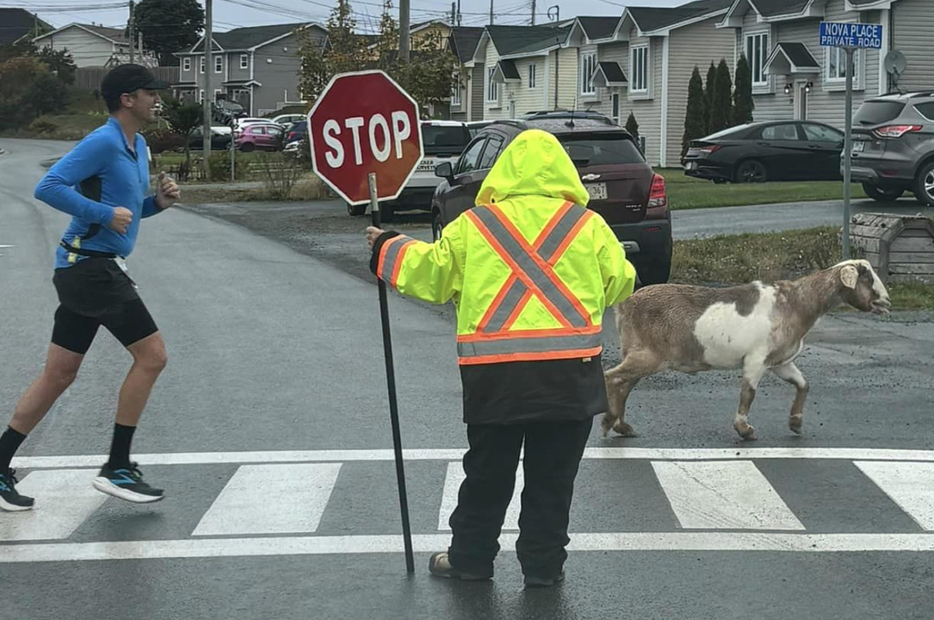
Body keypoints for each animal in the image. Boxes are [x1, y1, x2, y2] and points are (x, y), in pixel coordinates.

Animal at [604, 258, 896, 440]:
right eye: (868, 278)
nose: (887, 302)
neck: (797, 303)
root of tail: (624, 304)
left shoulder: (780, 361)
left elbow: (803, 384)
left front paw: (796, 422)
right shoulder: (757, 358)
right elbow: (749, 393)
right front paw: (744, 430)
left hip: (640, 351)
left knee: (624, 385)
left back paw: (622, 426)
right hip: (648, 354)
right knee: (612, 377)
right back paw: (609, 420)